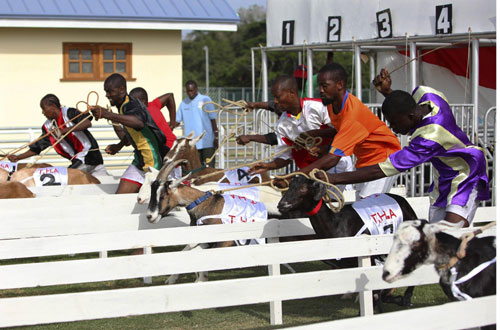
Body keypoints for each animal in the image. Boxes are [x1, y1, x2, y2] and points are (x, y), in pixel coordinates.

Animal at [278, 175, 418, 310]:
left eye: (302, 188)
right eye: (289, 186)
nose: (281, 204)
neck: (336, 224)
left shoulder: (371, 260)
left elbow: (376, 295)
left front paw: (400, 299)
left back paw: (407, 296)